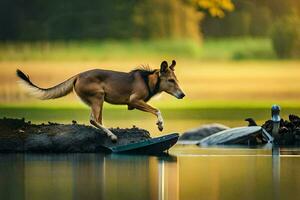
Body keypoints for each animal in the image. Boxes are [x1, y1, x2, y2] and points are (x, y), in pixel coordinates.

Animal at [17, 60, 185, 141]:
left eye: (176, 79)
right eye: (170, 80)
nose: (183, 95)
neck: (148, 80)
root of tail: (77, 75)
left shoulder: (133, 105)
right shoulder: (134, 101)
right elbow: (157, 110)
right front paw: (160, 125)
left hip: (100, 100)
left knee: (98, 120)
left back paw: (108, 133)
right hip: (98, 97)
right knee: (93, 119)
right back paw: (112, 136)